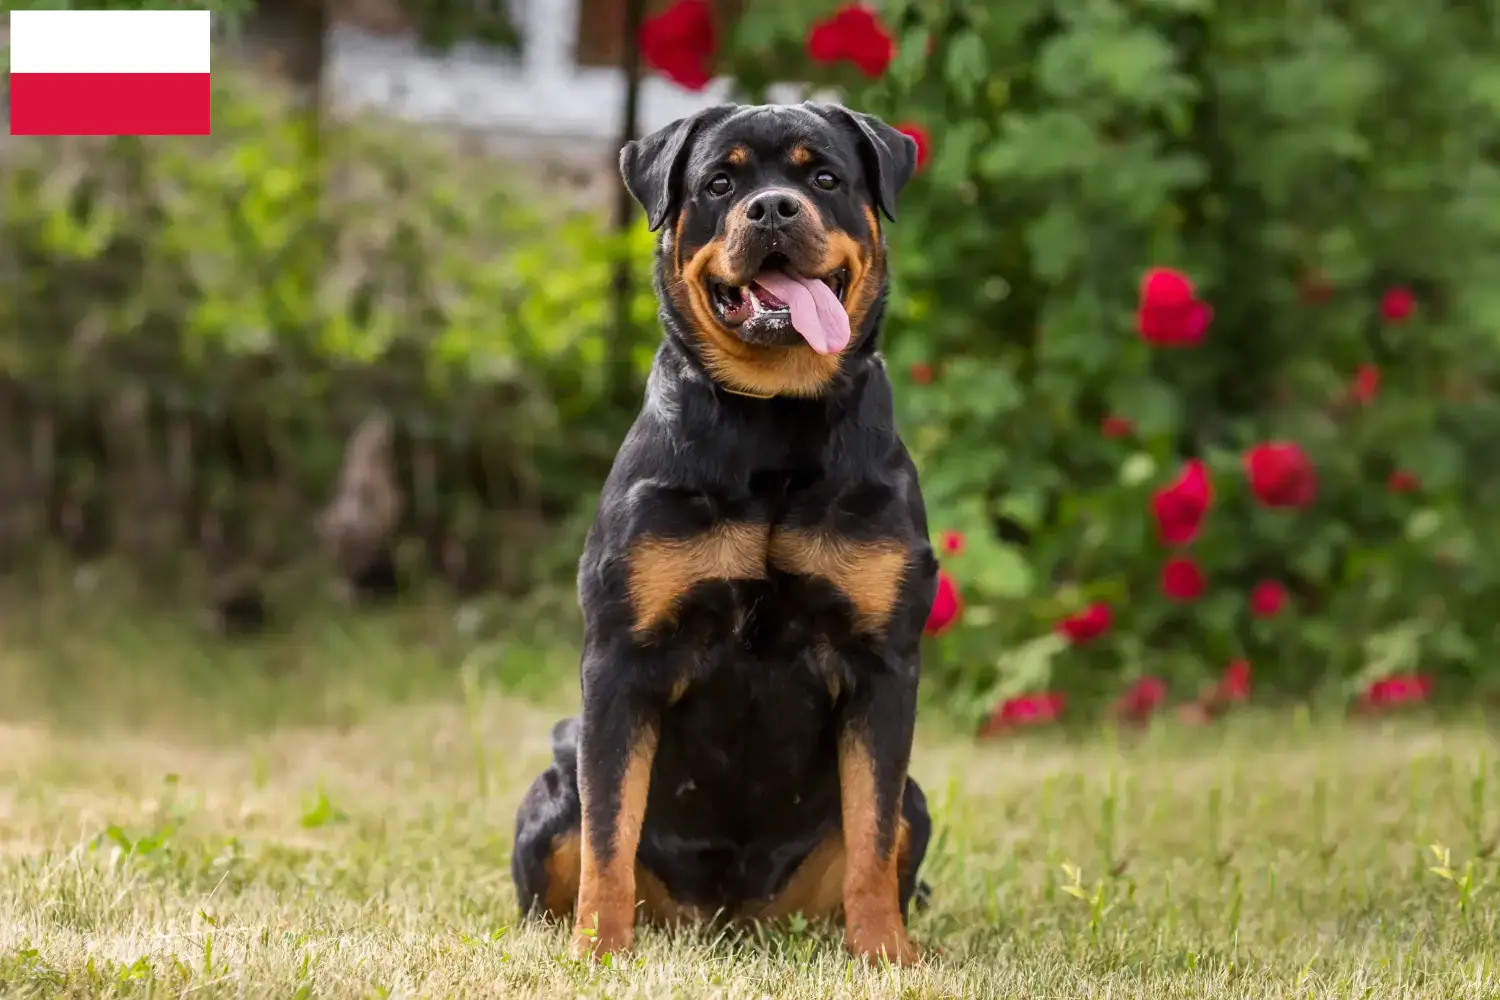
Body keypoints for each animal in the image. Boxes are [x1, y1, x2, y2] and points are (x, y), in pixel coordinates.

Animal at [516, 99, 936, 959]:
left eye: (824, 177)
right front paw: (598, 951)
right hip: (548, 791)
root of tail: (725, 920)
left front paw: (885, 955)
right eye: (719, 182)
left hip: (915, 802)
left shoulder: (883, 663)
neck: (774, 425)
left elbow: (873, 838)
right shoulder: (621, 659)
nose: (772, 207)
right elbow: (608, 829)